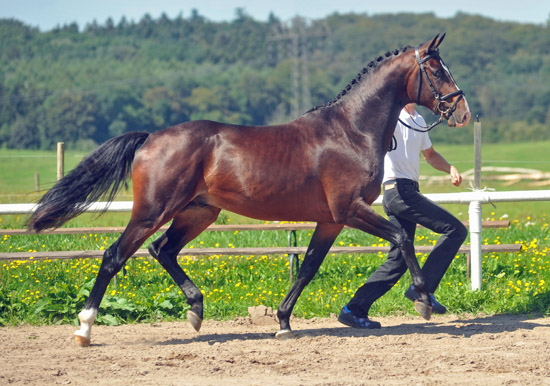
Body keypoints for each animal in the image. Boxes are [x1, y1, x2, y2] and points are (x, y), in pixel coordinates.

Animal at [29, 34, 470, 346]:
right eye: (436, 70)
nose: (462, 112)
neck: (350, 130)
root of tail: (151, 137)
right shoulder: (350, 209)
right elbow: (401, 237)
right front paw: (423, 300)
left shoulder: (330, 220)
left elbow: (308, 268)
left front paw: (283, 322)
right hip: (154, 211)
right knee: (114, 255)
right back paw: (84, 329)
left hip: (198, 212)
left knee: (163, 250)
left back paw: (195, 310)